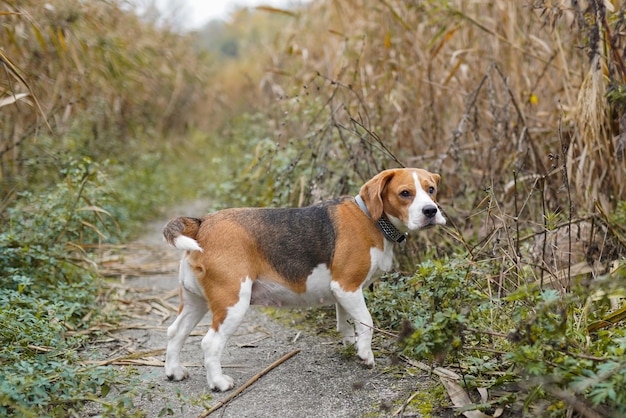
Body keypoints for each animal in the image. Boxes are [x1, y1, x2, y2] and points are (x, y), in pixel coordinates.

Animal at [161, 168, 444, 390]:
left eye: (431, 189)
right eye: (405, 193)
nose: (431, 211)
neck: (373, 219)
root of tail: (202, 222)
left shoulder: (343, 292)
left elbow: (346, 323)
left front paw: (350, 345)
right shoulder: (348, 286)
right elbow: (366, 321)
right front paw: (365, 354)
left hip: (194, 301)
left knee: (175, 332)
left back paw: (174, 371)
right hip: (233, 303)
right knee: (210, 343)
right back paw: (219, 383)